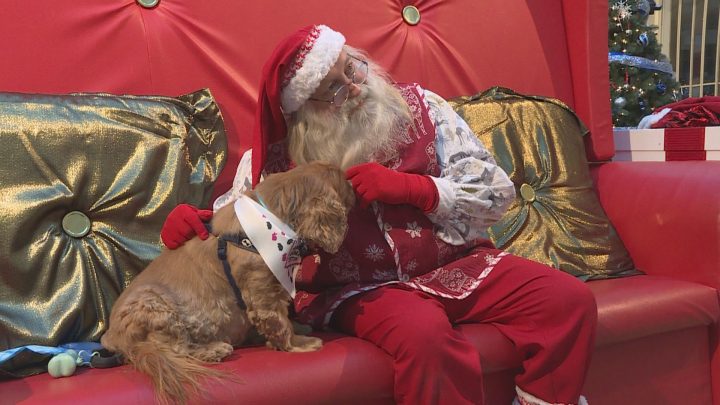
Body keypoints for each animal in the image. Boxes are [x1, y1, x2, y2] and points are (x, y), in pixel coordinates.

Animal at [100, 161, 355, 404]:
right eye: (344, 181)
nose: (354, 186)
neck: (271, 220)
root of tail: (112, 336)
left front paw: (298, 327)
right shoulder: (263, 292)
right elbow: (280, 323)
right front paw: (300, 343)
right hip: (155, 306)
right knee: (179, 348)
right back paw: (215, 349)